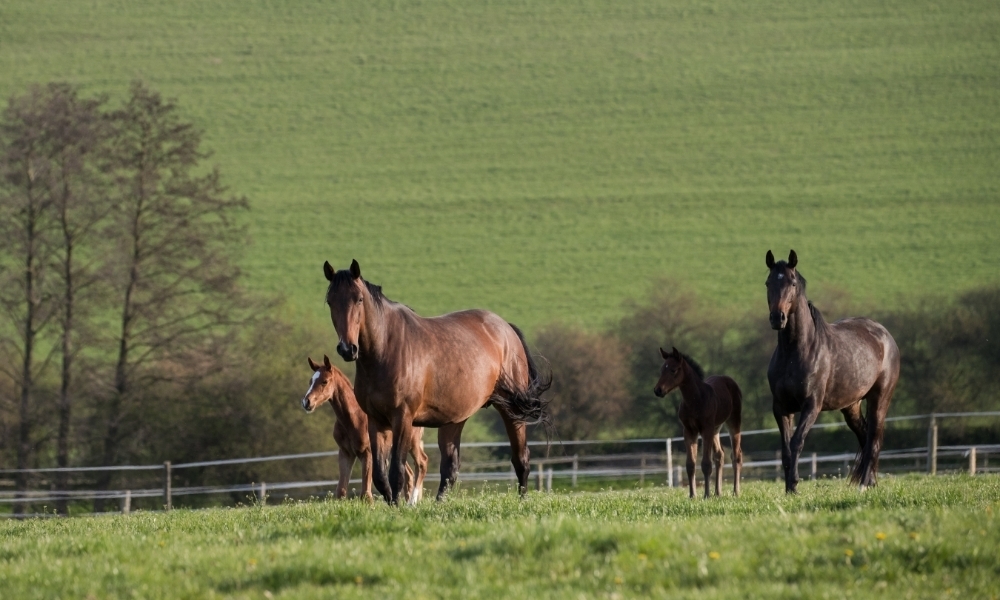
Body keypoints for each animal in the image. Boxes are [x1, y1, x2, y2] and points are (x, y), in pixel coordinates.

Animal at [301, 354, 428, 504]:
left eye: (324, 381)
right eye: (310, 381)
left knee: (422, 462)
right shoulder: (345, 453)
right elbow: (341, 490)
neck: (353, 419)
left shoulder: (367, 452)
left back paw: (412, 502)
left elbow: (366, 494)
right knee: (408, 474)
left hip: (411, 442)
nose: (306, 402)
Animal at [323, 259, 550, 504]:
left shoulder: (403, 418)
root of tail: (506, 329)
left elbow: (396, 472)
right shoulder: (376, 421)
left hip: (511, 410)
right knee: (450, 468)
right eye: (330, 301)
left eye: (359, 299)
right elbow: (381, 477)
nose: (347, 349)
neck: (386, 349)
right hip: (455, 419)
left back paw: (523, 500)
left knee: (521, 458)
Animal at [654, 347, 743, 498]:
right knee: (719, 455)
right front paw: (692, 495)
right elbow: (690, 464)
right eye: (661, 370)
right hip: (715, 428)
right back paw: (718, 492)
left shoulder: (706, 429)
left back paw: (735, 492)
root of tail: (727, 378)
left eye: (673, 370)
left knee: (736, 455)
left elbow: (706, 464)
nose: (658, 390)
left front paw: (706, 495)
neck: (695, 399)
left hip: (733, 421)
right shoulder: (689, 430)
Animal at [765, 249, 900, 493]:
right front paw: (789, 489)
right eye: (768, 282)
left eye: (792, 283)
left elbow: (797, 442)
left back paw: (864, 484)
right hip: (851, 406)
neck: (795, 352)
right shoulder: (781, 408)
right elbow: (786, 450)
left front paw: (795, 485)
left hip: (880, 399)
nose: (777, 318)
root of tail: (885, 336)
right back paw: (870, 482)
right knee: (865, 437)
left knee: (874, 440)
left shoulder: (812, 405)